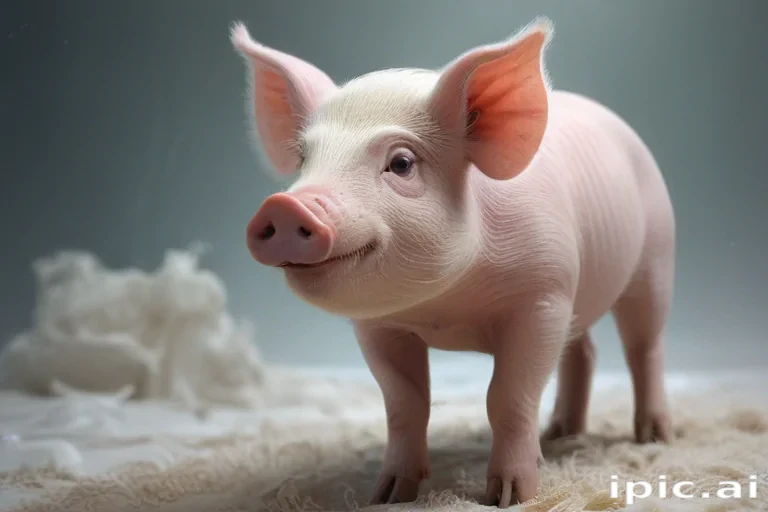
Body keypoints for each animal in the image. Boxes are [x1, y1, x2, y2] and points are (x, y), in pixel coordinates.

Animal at [231, 16, 675, 508]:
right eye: (304, 158)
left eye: (401, 163)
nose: (284, 206)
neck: (447, 306)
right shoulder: (377, 325)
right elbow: (404, 403)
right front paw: (388, 495)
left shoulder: (542, 295)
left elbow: (508, 398)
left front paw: (509, 497)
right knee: (583, 350)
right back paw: (560, 435)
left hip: (655, 257)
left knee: (643, 346)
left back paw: (655, 437)